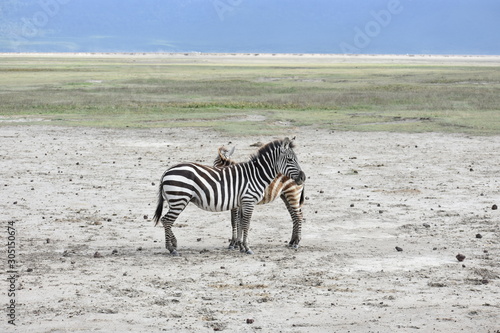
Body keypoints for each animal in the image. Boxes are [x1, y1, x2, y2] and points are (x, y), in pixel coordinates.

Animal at [152, 137, 304, 254]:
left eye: (295, 159)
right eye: (290, 160)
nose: (303, 177)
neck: (256, 174)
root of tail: (167, 171)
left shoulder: (241, 202)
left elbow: (240, 223)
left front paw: (240, 246)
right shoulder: (248, 201)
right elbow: (245, 224)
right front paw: (246, 247)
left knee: (297, 216)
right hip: (179, 199)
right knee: (167, 220)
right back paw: (171, 248)